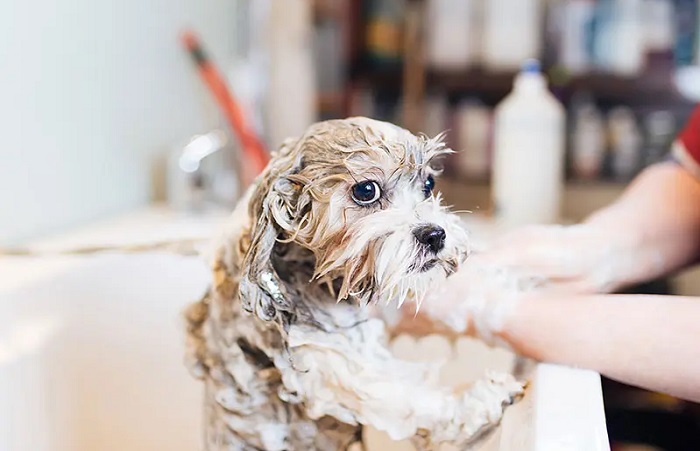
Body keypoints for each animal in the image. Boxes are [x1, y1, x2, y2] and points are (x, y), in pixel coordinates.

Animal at [183, 117, 524, 451]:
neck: (315, 276)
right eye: (366, 190)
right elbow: (399, 394)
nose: (435, 234)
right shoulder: (319, 360)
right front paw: (479, 400)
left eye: (428, 184)